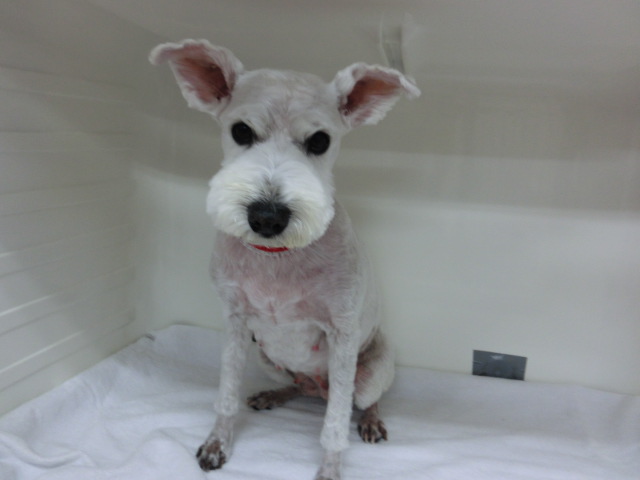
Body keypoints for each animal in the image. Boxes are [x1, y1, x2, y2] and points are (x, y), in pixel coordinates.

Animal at [150, 39, 420, 480]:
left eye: (320, 141)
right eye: (241, 131)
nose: (267, 216)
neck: (277, 257)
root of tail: (316, 387)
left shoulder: (342, 336)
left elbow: (334, 425)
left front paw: (329, 469)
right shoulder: (236, 323)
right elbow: (226, 393)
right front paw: (217, 442)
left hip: (370, 372)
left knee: (361, 400)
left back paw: (370, 419)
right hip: (267, 358)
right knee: (297, 384)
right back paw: (275, 394)